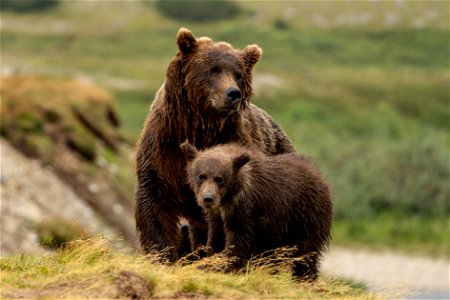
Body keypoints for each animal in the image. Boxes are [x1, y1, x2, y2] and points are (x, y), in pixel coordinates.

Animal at [134, 27, 296, 260]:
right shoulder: (163, 150)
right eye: (214, 69)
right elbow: (154, 206)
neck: (200, 127)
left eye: (238, 74)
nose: (233, 93)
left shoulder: (233, 143)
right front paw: (163, 254)